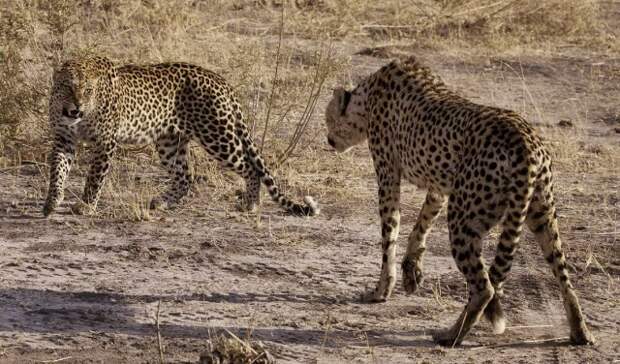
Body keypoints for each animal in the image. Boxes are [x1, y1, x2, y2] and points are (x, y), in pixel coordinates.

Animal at [42, 55, 320, 218]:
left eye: (88, 90)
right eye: (68, 87)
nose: (77, 107)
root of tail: (220, 79)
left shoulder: (105, 142)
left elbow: (94, 178)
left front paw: (85, 206)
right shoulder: (64, 139)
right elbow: (57, 171)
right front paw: (52, 202)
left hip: (218, 136)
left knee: (250, 167)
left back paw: (250, 204)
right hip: (169, 142)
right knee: (186, 175)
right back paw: (162, 202)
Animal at [322, 55, 592, 346]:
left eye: (328, 119)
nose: (328, 139)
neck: (368, 94)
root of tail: (525, 142)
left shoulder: (388, 175)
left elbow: (389, 234)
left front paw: (381, 290)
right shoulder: (440, 188)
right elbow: (421, 225)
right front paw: (411, 271)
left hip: (464, 220)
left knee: (484, 288)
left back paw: (450, 335)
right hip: (541, 214)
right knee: (563, 277)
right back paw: (580, 332)